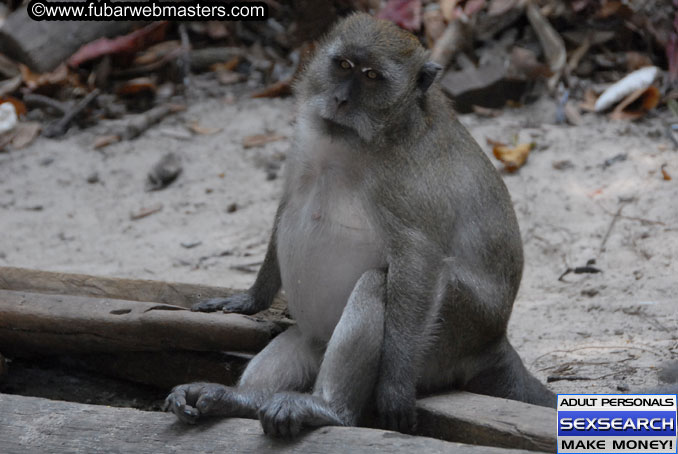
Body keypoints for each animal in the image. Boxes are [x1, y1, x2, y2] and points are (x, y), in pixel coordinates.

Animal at [166, 11, 556, 436]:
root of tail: (494, 340)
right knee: (304, 341)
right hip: (322, 340)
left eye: (371, 77)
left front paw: (394, 389)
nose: (340, 99)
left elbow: (418, 257)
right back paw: (237, 399)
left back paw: (328, 408)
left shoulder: (404, 181)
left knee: (376, 285)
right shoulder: (304, 139)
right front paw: (250, 298)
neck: (359, 140)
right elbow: (286, 206)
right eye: (343, 65)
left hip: (449, 338)